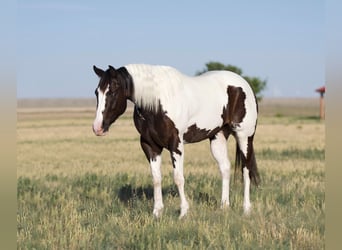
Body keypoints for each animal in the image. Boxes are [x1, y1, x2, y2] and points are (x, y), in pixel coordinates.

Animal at [91, 63, 260, 218]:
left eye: (112, 91)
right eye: (96, 92)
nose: (97, 128)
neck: (157, 103)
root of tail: (244, 84)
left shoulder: (175, 145)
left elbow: (178, 178)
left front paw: (183, 213)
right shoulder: (150, 146)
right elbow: (156, 178)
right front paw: (157, 213)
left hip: (244, 136)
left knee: (246, 170)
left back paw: (246, 209)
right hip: (218, 137)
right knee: (225, 168)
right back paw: (224, 207)